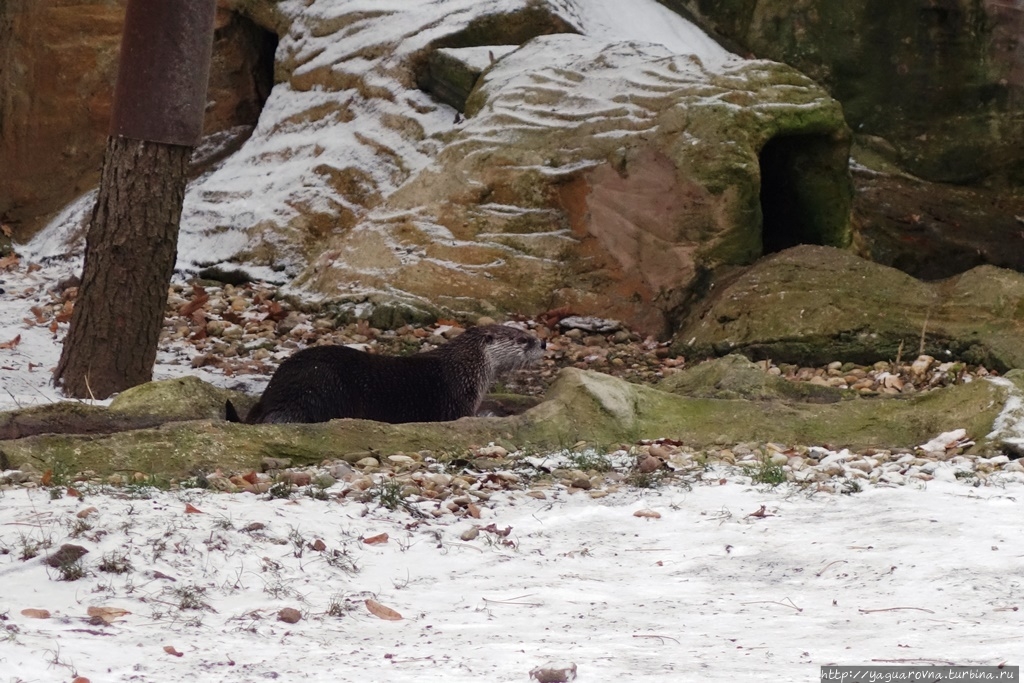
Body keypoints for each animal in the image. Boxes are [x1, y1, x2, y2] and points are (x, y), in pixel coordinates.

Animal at [224, 325, 544, 423]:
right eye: (522, 339)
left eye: (528, 331)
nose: (542, 342)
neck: (465, 370)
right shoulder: (456, 402)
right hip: (315, 392)